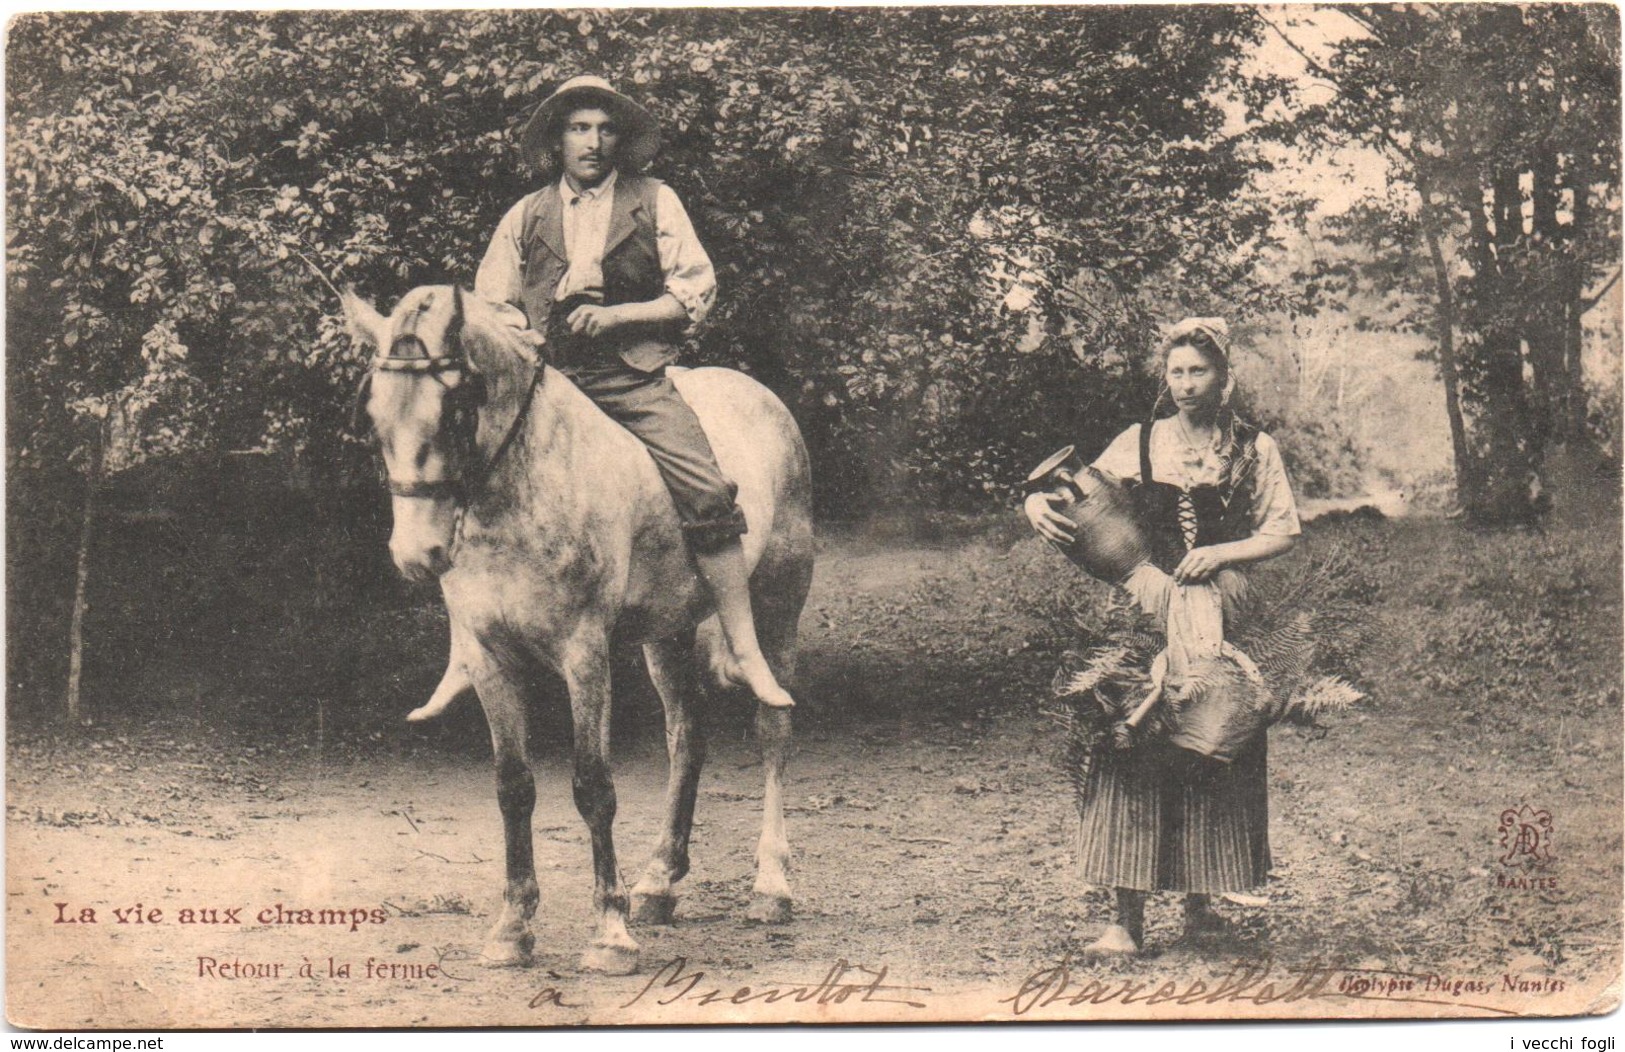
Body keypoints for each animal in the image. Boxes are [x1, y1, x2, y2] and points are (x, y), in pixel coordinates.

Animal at [351, 284, 819, 975]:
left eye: (455, 409)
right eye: (375, 415)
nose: (418, 554)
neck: (521, 489)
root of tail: (766, 400)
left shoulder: (584, 655)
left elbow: (593, 785)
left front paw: (609, 933)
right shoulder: (491, 659)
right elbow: (513, 786)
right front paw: (512, 928)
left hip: (778, 606)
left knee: (773, 729)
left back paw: (771, 886)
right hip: (666, 636)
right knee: (687, 736)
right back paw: (659, 884)